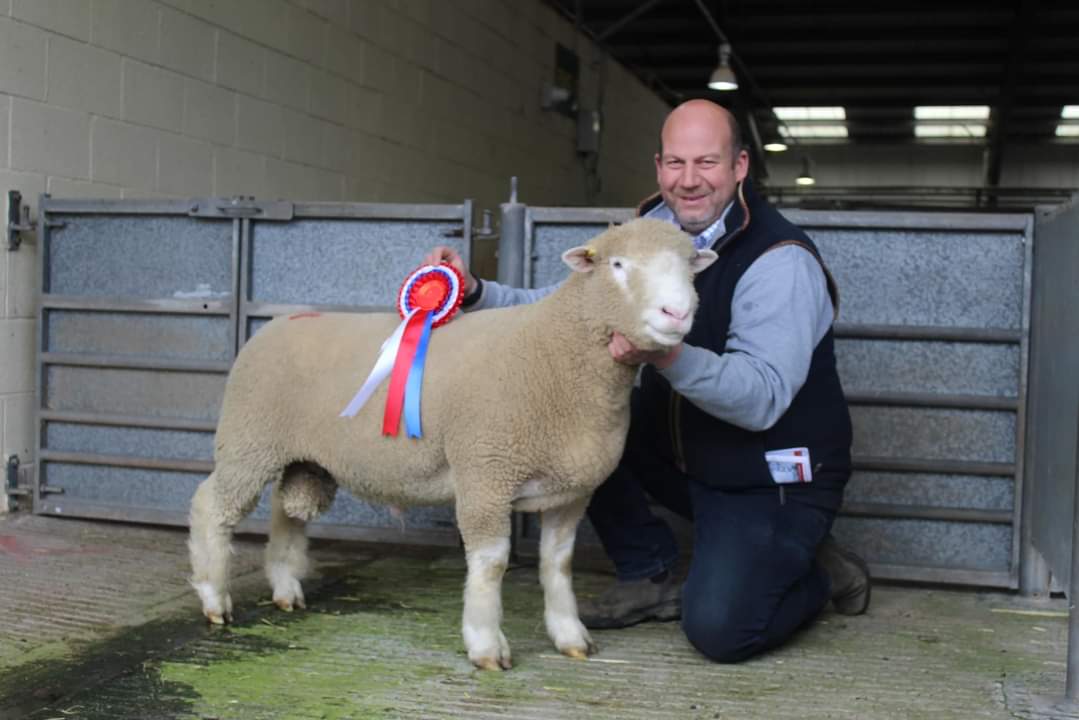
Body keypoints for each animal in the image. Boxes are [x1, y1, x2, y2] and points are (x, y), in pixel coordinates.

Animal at [187, 218, 717, 670]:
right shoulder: (485, 473)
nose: (677, 312)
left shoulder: (571, 493)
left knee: (288, 510)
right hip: (249, 439)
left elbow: (558, 564)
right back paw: (214, 599)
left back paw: (285, 588)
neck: (555, 353)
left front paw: (570, 637)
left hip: (304, 455)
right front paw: (486, 646)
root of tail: (281, 322)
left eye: (690, 265)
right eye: (618, 265)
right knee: (212, 506)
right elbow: (491, 564)